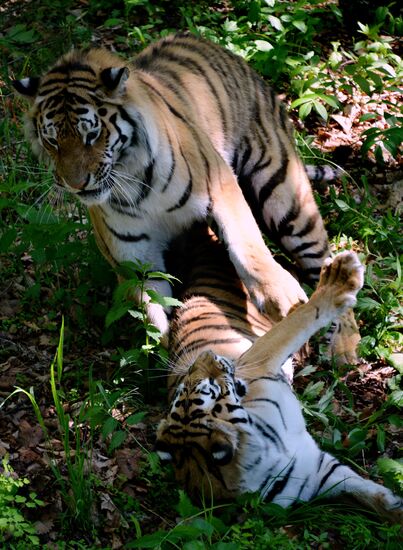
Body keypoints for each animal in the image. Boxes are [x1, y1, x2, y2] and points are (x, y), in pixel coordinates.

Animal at [11, 33, 360, 362]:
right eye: (53, 141)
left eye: (92, 135)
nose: (76, 184)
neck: (133, 182)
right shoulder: (137, 261)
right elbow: (155, 311)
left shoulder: (220, 185)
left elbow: (247, 246)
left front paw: (282, 298)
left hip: (287, 199)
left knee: (329, 265)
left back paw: (343, 347)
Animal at [155, 226, 403, 524]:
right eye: (208, 388)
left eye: (193, 386)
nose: (207, 356)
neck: (266, 455)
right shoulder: (318, 474)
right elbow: (305, 317)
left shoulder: (256, 361)